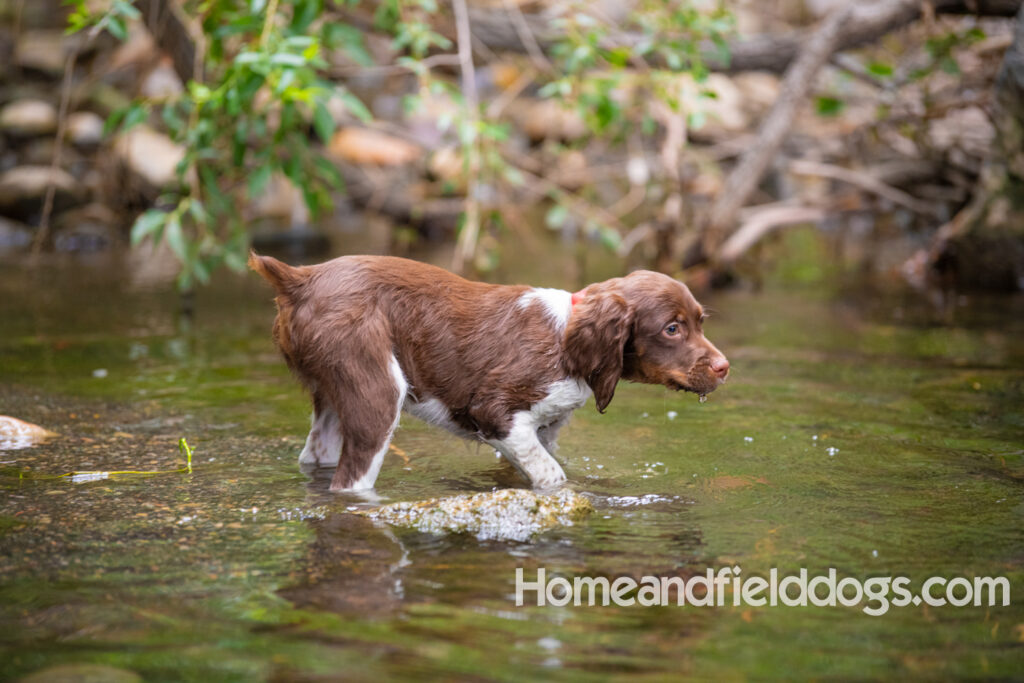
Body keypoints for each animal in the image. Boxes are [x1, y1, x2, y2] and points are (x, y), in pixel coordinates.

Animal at [249, 250, 729, 491]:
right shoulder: (496, 412)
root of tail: (299, 278)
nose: (725, 368)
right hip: (378, 394)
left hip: (333, 396)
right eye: (672, 328)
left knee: (316, 456)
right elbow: (553, 478)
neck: (566, 339)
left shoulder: (537, 432)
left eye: (701, 321)